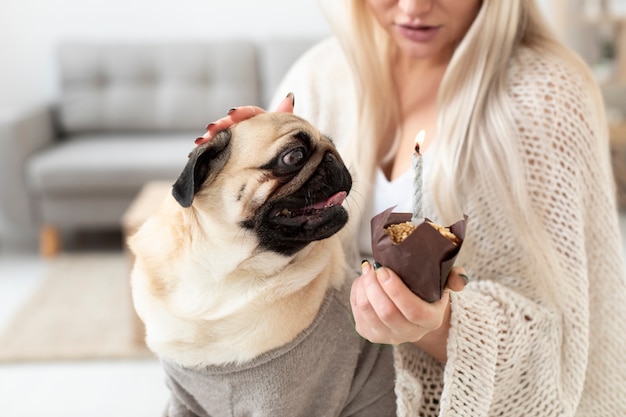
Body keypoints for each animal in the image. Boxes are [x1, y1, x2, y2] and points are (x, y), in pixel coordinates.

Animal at [128, 112, 394, 414]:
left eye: (332, 145)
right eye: (294, 157)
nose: (332, 157)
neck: (224, 273)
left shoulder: (286, 403)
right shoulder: (183, 399)